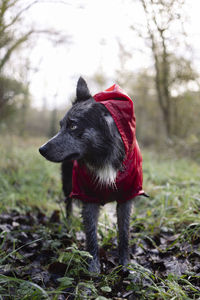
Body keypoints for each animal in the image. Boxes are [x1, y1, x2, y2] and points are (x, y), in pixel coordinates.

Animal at [38, 76, 145, 274]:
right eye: (61, 126)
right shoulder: (88, 198)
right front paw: (93, 267)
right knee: (68, 205)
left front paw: (125, 265)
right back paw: (69, 227)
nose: (41, 149)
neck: (103, 157)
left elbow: (124, 234)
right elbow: (91, 236)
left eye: (73, 125)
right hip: (67, 185)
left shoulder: (127, 198)